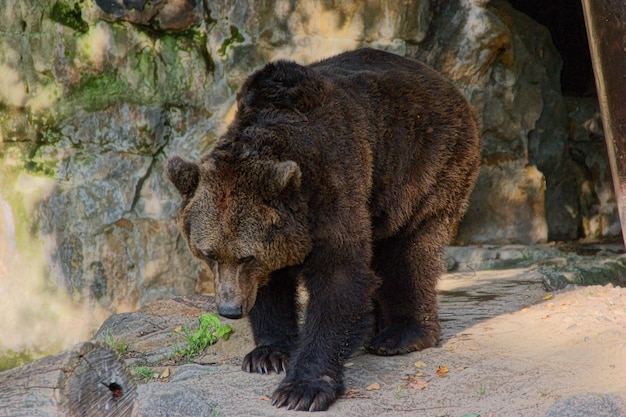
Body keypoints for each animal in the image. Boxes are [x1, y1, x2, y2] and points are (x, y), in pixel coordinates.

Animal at [165, 48, 478, 410]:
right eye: (209, 254)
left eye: (246, 257)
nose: (229, 310)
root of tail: (441, 79)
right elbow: (271, 286)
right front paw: (268, 354)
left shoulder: (333, 185)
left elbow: (339, 279)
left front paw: (301, 389)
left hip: (425, 163)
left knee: (411, 249)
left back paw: (401, 334)